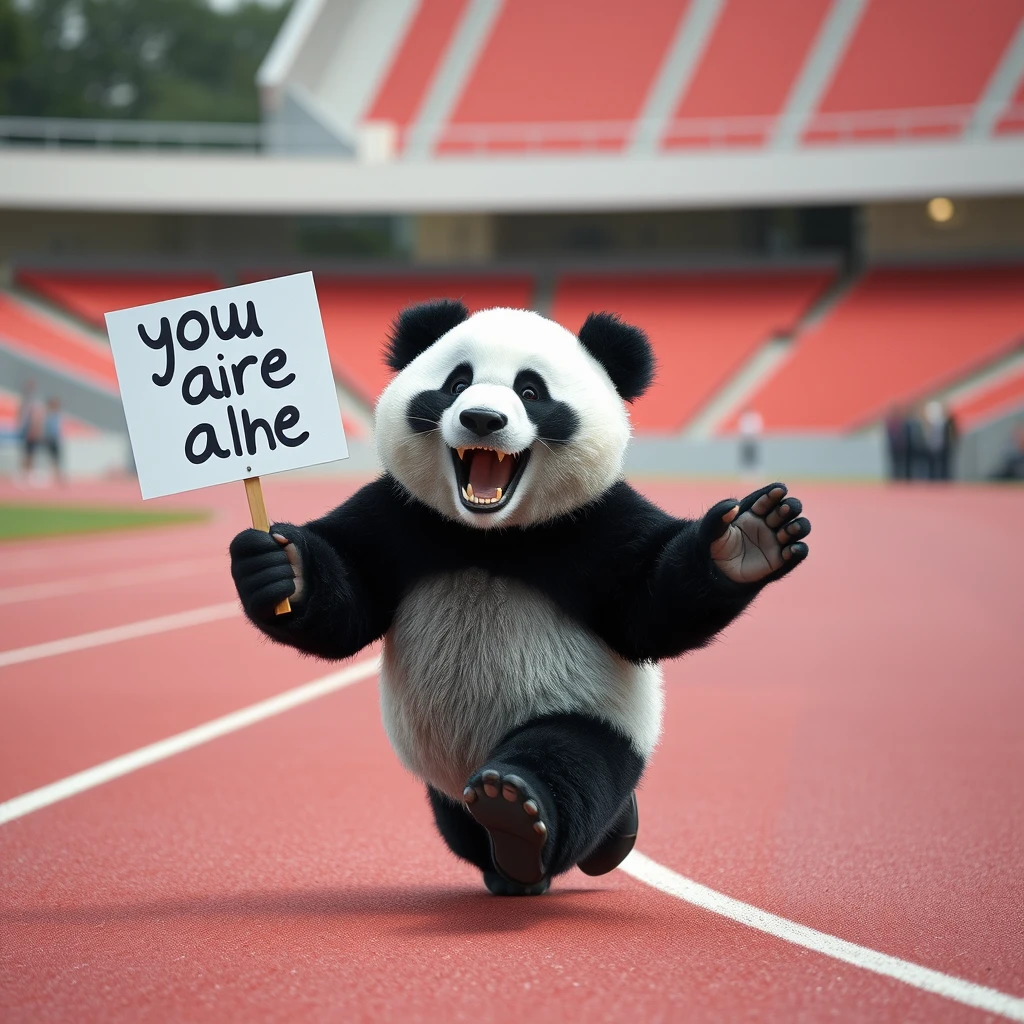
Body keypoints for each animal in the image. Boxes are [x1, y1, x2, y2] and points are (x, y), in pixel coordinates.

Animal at [230, 299, 806, 897]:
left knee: (572, 762)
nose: (483, 419)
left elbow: (650, 608)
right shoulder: (397, 516)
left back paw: (523, 814)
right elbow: (348, 600)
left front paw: (747, 542)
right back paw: (511, 864)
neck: (491, 536)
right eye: (457, 382)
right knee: (460, 823)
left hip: (595, 713)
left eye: (531, 391)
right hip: (441, 778)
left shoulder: (598, 523)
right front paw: (279, 569)